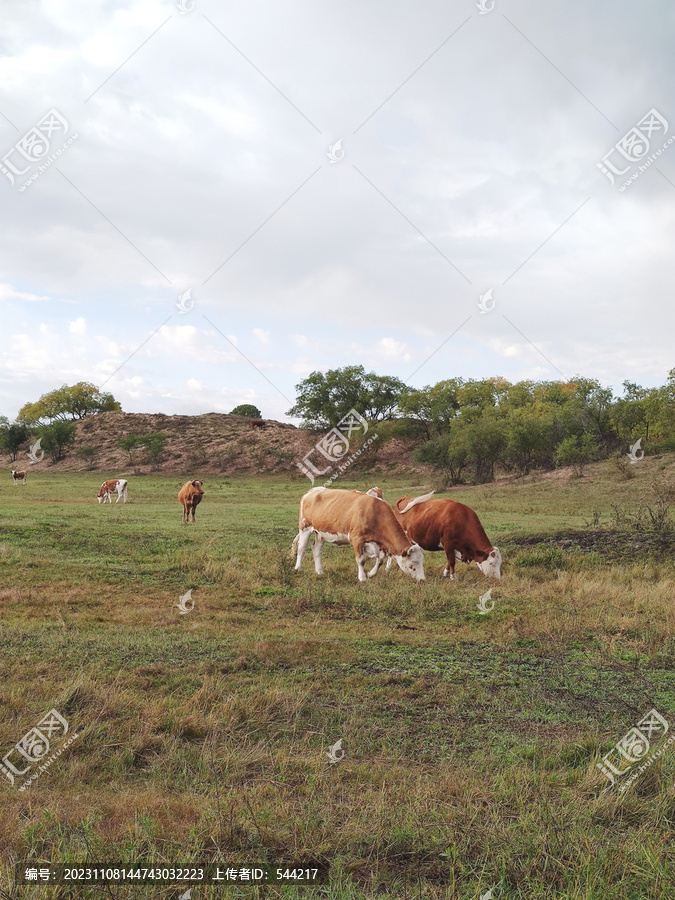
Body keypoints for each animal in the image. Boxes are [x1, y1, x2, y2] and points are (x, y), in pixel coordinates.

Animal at [294, 486, 426, 584]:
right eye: (413, 563)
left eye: (421, 560)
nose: (422, 579)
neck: (375, 513)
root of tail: (313, 490)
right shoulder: (357, 539)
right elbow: (361, 560)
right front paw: (362, 577)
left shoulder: (379, 544)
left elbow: (380, 560)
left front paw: (371, 573)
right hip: (305, 527)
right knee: (301, 548)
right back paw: (297, 568)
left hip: (321, 532)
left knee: (316, 549)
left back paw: (319, 571)